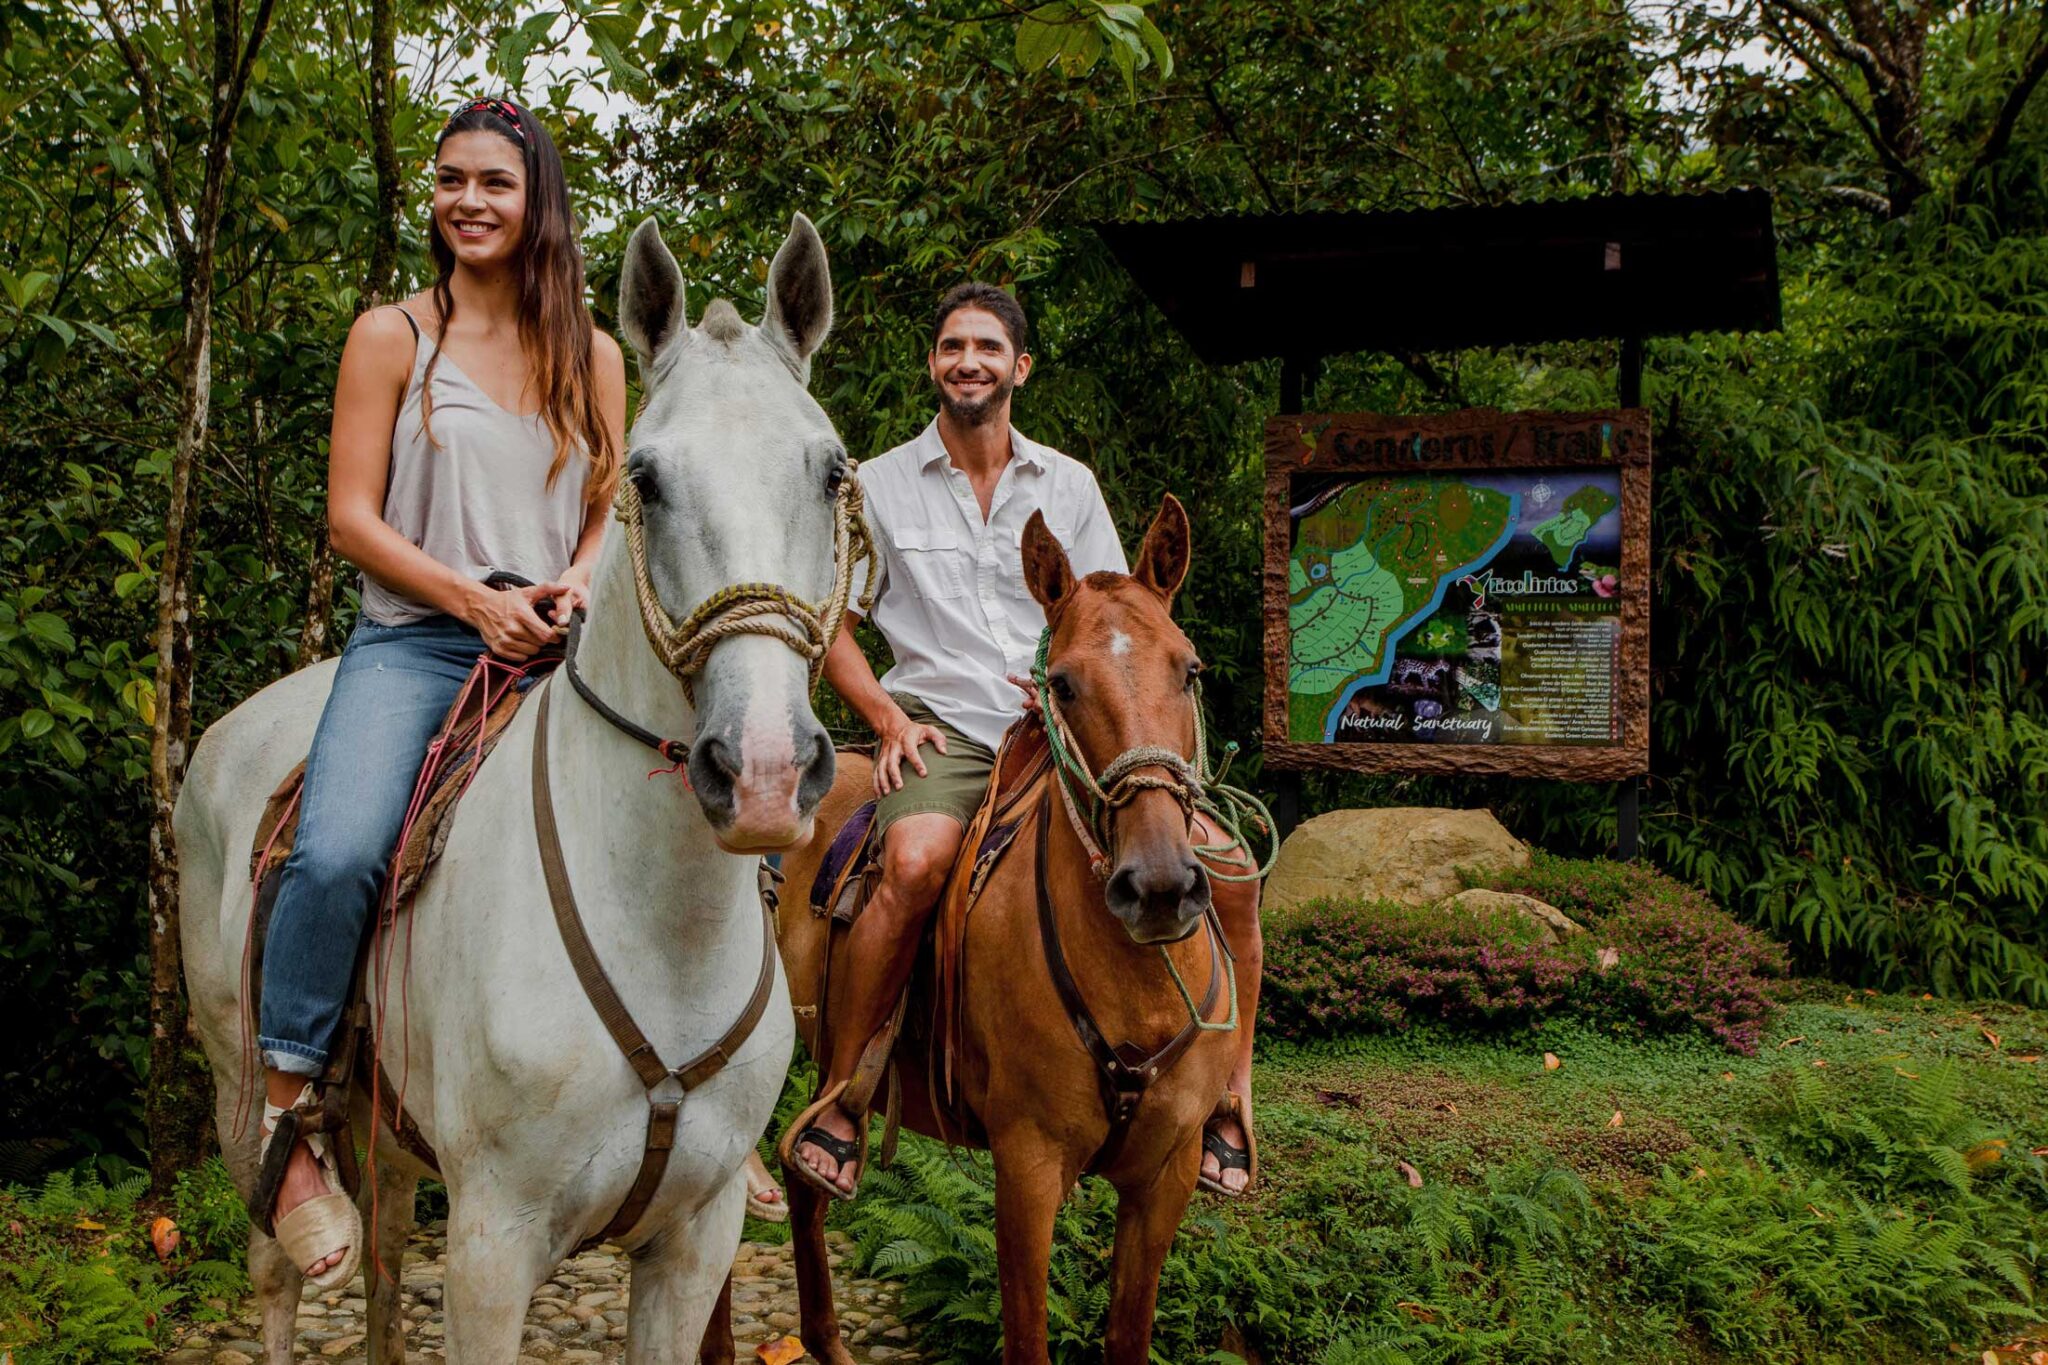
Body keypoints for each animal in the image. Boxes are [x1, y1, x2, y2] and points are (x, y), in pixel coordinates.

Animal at [176, 213, 847, 1365]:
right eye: (647, 479)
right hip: (237, 1095)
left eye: (832, 471)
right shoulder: (493, 1248)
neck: (662, 932)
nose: (760, 769)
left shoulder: (694, 1242)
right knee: (280, 1269)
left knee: (386, 1254)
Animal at [720, 497, 1261, 1365]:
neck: (1135, 986)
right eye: (1063, 683)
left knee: (797, 1188)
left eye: (1190, 670)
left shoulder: (1166, 1176)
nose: (1159, 885)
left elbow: (1129, 1336)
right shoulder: (1027, 1166)